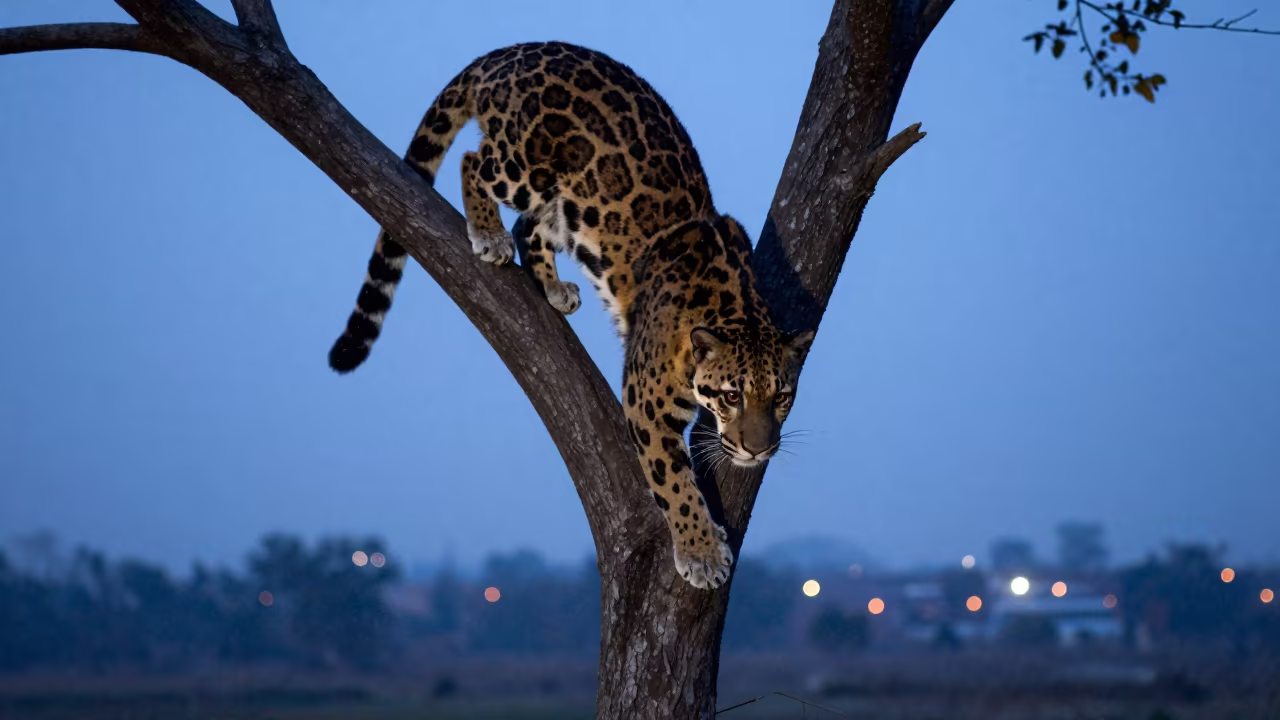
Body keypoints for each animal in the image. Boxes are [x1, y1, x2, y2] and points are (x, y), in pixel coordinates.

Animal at [328, 41, 814, 589]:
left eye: (782, 397)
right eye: (733, 395)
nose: (758, 450)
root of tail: (512, 52)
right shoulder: (646, 400)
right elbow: (674, 482)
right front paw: (701, 553)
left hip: (573, 204)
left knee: (531, 224)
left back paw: (553, 286)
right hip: (527, 166)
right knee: (477, 164)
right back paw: (488, 234)